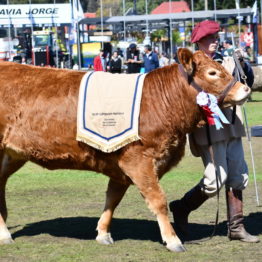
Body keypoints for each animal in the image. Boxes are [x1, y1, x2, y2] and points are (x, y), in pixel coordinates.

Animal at [0, 48, 251, 252]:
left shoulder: (120, 164)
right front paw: (173, 240)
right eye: (212, 73)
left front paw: (103, 233)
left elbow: (113, 199)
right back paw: (5, 235)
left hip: (13, 155)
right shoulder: (138, 160)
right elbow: (158, 200)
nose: (245, 89)